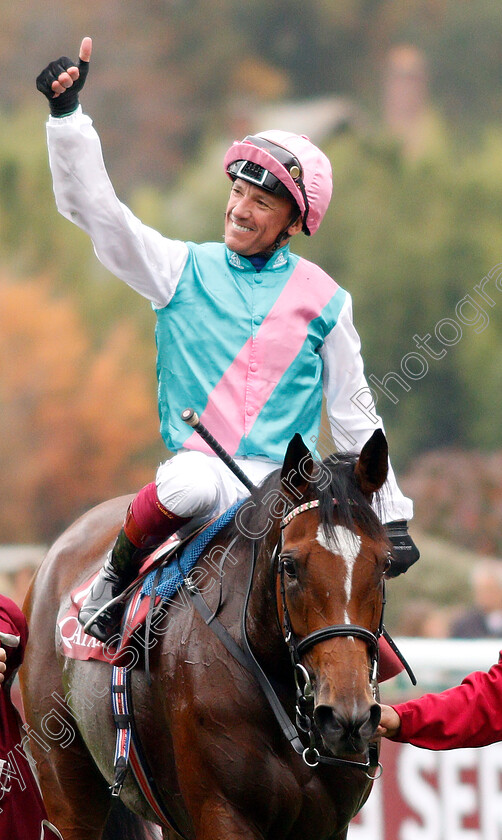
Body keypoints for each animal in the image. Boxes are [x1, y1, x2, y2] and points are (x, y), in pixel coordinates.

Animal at [21, 430, 392, 840]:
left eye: (385, 563)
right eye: (290, 565)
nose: (346, 714)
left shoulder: (329, 825)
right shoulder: (222, 812)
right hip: (66, 783)